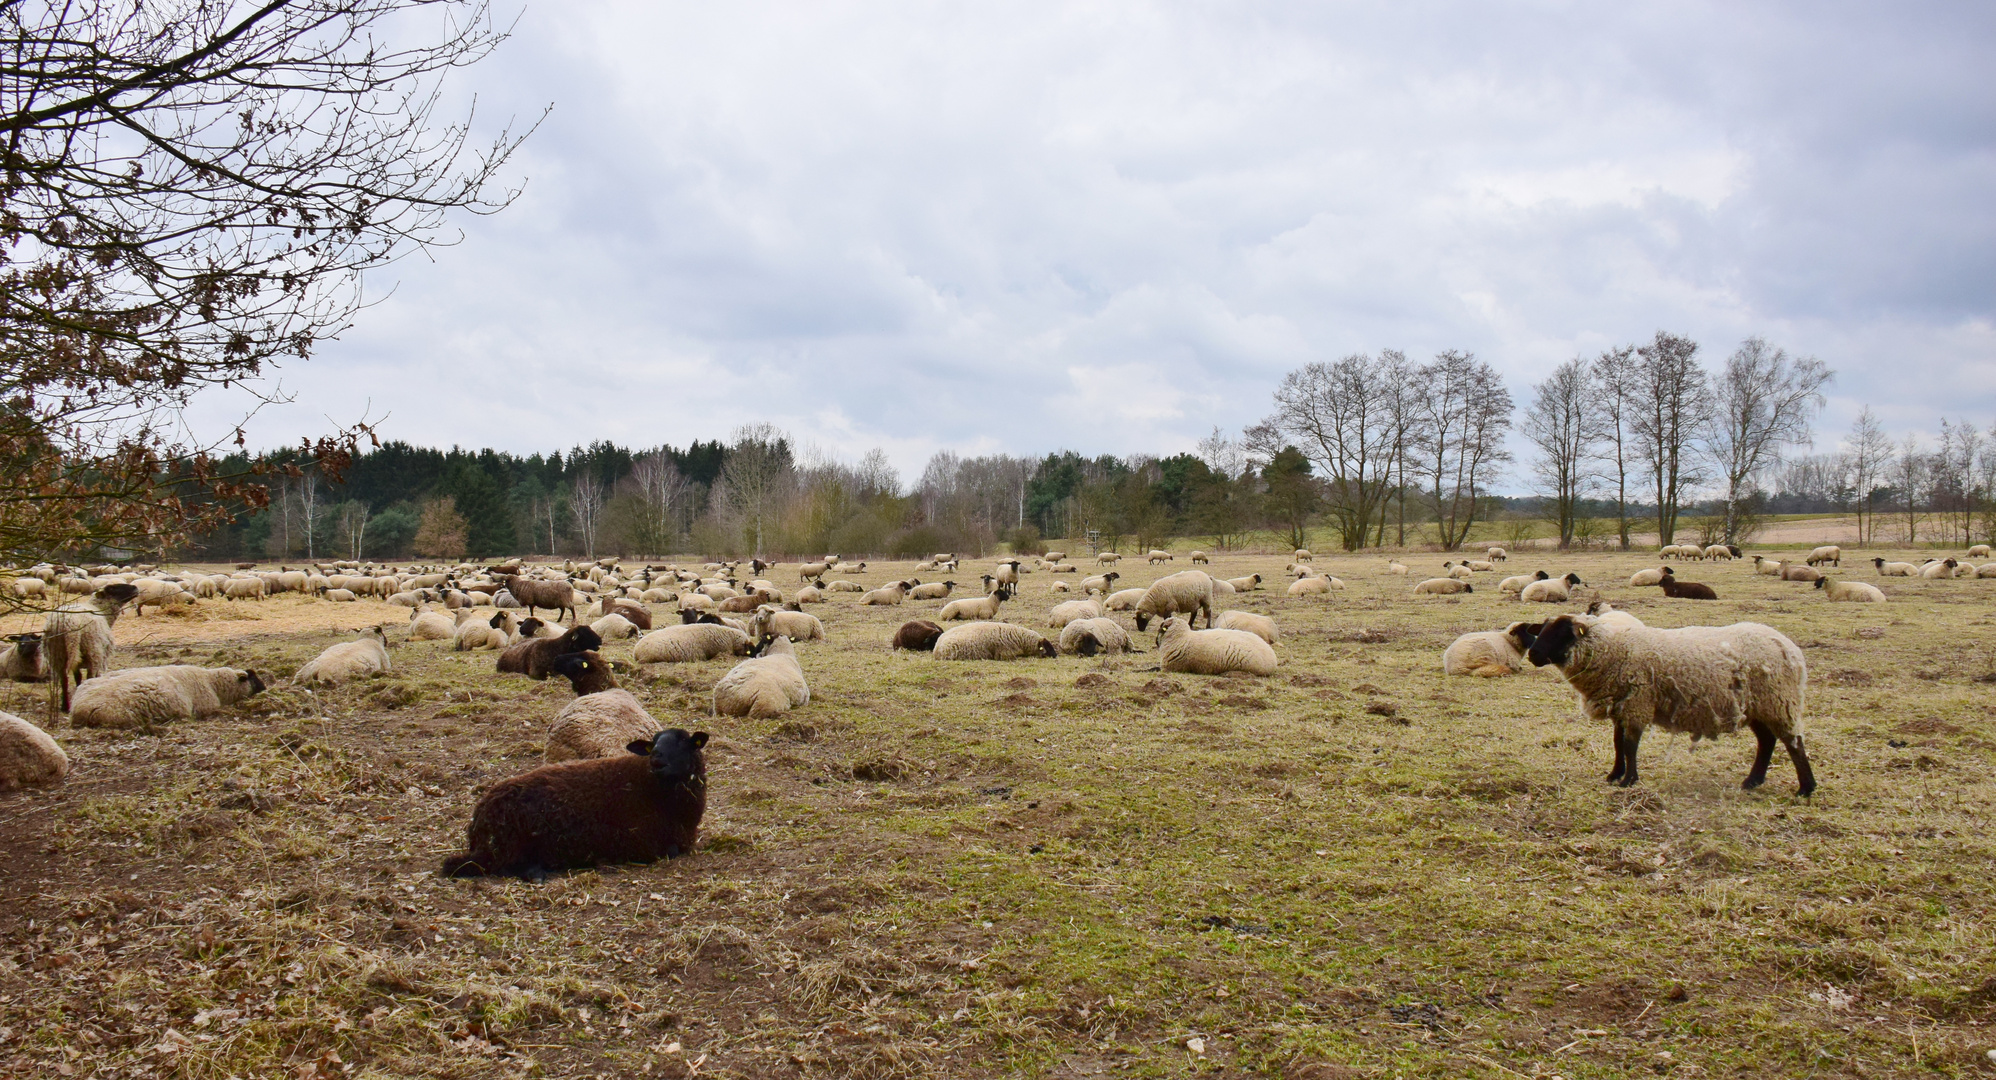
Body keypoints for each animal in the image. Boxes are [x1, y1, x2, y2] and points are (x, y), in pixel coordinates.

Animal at [1516, 610, 1820, 794]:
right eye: (1542, 630)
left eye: (1562, 632)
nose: (1533, 655)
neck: (1613, 650)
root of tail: (1789, 647)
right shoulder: (1622, 706)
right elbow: (1618, 743)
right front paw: (1615, 775)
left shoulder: (1637, 703)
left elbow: (1630, 745)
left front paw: (1629, 780)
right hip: (1757, 706)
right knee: (1767, 741)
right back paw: (1752, 781)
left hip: (1779, 701)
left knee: (1794, 742)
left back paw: (1806, 788)